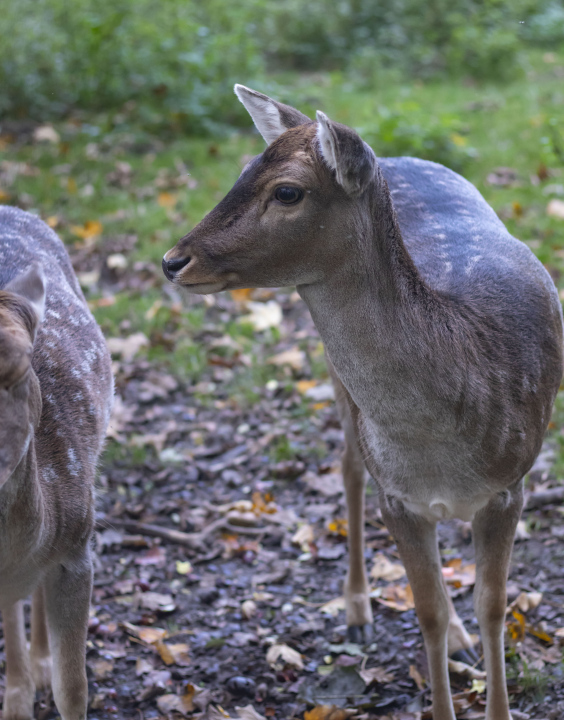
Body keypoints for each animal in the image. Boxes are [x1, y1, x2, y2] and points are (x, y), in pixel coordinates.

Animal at [162, 86, 563, 720]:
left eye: (287, 190)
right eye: (244, 169)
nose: (173, 260)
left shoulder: (511, 484)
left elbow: (493, 607)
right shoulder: (394, 496)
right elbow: (426, 611)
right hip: (339, 385)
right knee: (349, 466)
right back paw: (357, 612)